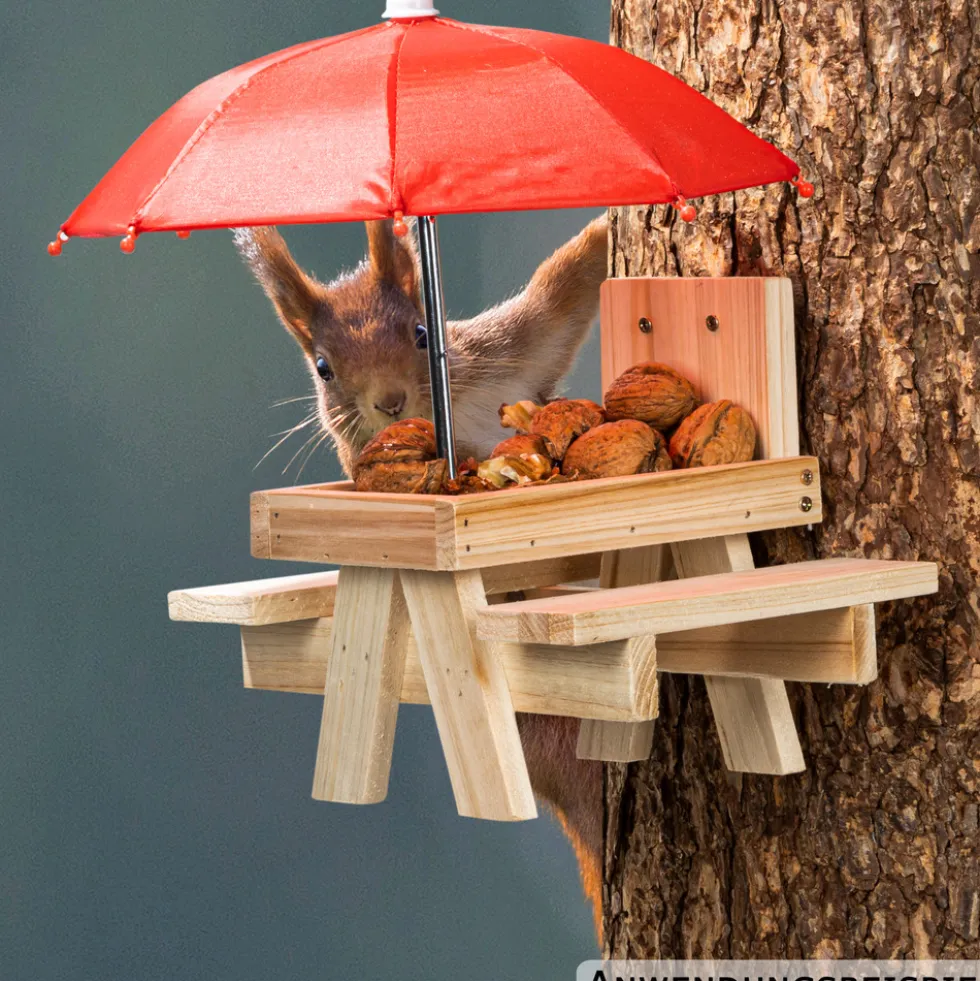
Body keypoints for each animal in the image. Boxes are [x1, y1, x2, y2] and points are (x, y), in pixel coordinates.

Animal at [234, 216, 608, 937]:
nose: (390, 401)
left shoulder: (506, 352)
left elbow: (563, 291)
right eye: (322, 367)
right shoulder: (369, 471)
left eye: (421, 332)